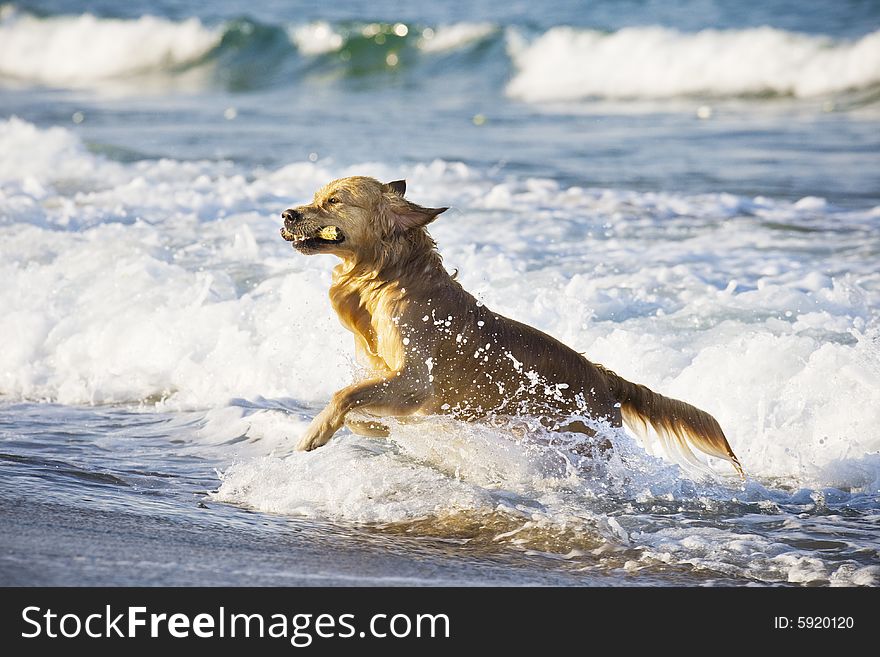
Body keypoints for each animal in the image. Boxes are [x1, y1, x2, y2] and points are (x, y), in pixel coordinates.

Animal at [282, 177, 744, 474]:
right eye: (317, 196)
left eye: (333, 201)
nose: (286, 213)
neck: (390, 277)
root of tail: (605, 378)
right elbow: (359, 409)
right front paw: (375, 427)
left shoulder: (415, 380)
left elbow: (344, 394)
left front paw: (314, 433)